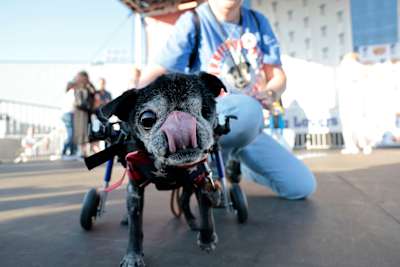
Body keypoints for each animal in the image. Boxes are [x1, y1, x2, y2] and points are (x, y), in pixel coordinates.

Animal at [99, 72, 227, 266]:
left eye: (206, 109)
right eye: (146, 120)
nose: (179, 120)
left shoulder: (201, 180)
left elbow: (206, 212)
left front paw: (207, 239)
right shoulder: (134, 190)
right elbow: (135, 227)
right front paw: (133, 255)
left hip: (189, 184)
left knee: (183, 200)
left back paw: (192, 222)